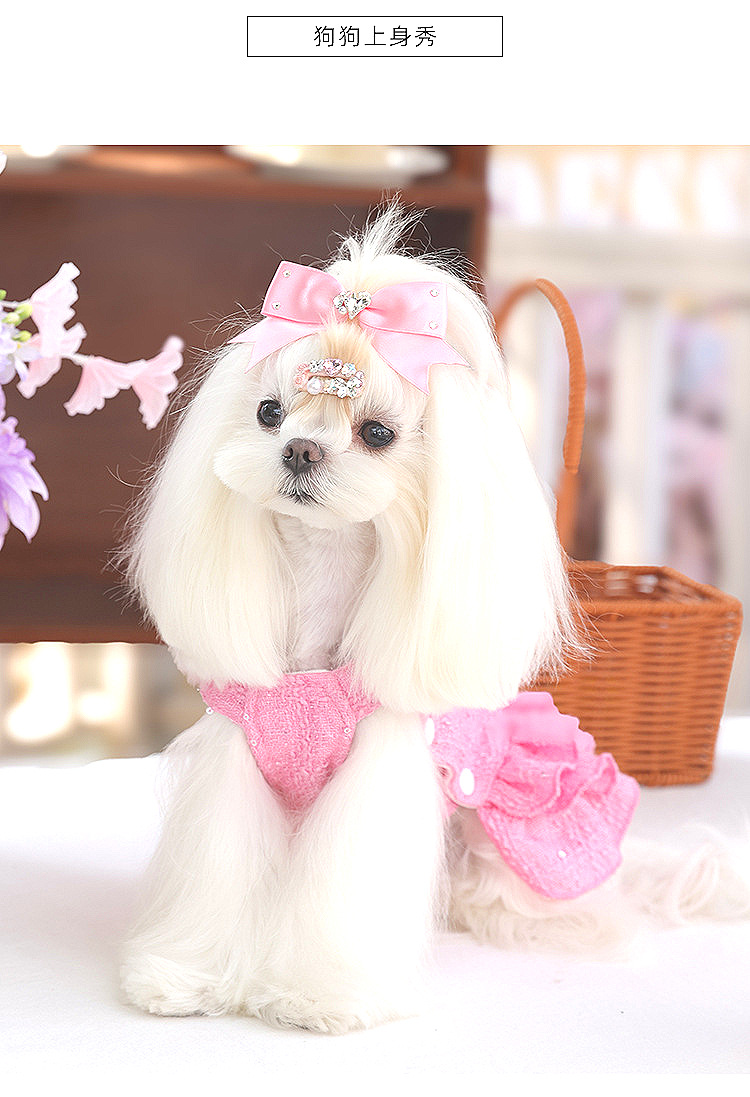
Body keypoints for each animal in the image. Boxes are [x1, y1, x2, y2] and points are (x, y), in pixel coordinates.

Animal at [120, 206, 748, 1033]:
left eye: (377, 433)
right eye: (268, 412)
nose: (298, 450)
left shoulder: (377, 772)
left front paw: (319, 994)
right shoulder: (236, 758)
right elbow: (217, 875)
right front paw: (183, 975)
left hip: (510, 842)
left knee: (579, 907)